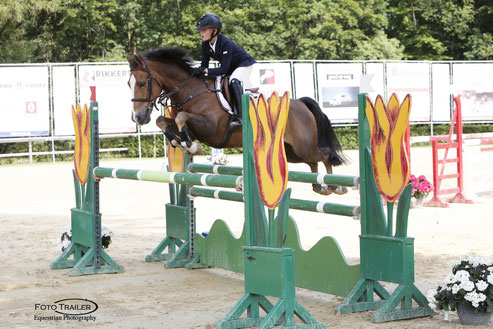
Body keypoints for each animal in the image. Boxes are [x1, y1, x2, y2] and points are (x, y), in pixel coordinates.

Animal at [129, 46, 348, 195]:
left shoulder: (210, 128)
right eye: (129, 83)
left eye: (142, 83)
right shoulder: (192, 126)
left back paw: (335, 186)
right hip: (292, 152)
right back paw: (320, 185)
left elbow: (182, 118)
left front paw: (191, 146)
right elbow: (162, 121)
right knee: (313, 162)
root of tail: (301, 104)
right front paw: (179, 143)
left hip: (304, 146)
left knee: (325, 155)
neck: (190, 90)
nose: (138, 117)